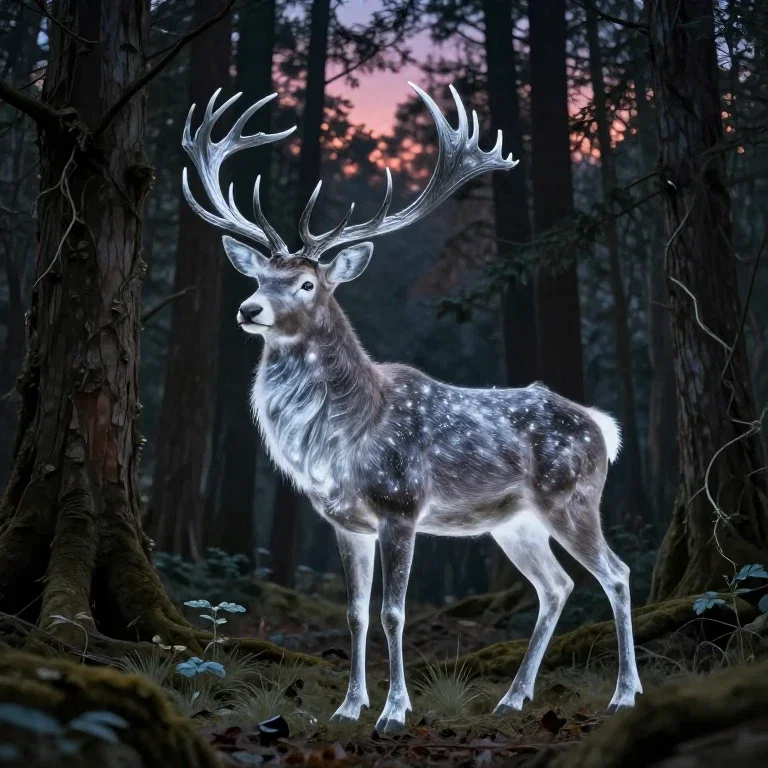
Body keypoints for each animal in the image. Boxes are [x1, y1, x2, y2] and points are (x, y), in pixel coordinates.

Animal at [181, 83, 643, 732]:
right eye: (260, 276)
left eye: (306, 284)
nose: (249, 310)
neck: (346, 434)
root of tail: (603, 426)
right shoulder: (344, 522)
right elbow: (354, 612)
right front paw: (348, 707)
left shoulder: (401, 505)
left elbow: (393, 612)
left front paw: (394, 712)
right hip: (515, 522)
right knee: (555, 586)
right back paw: (512, 697)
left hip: (573, 497)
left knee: (618, 574)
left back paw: (624, 694)